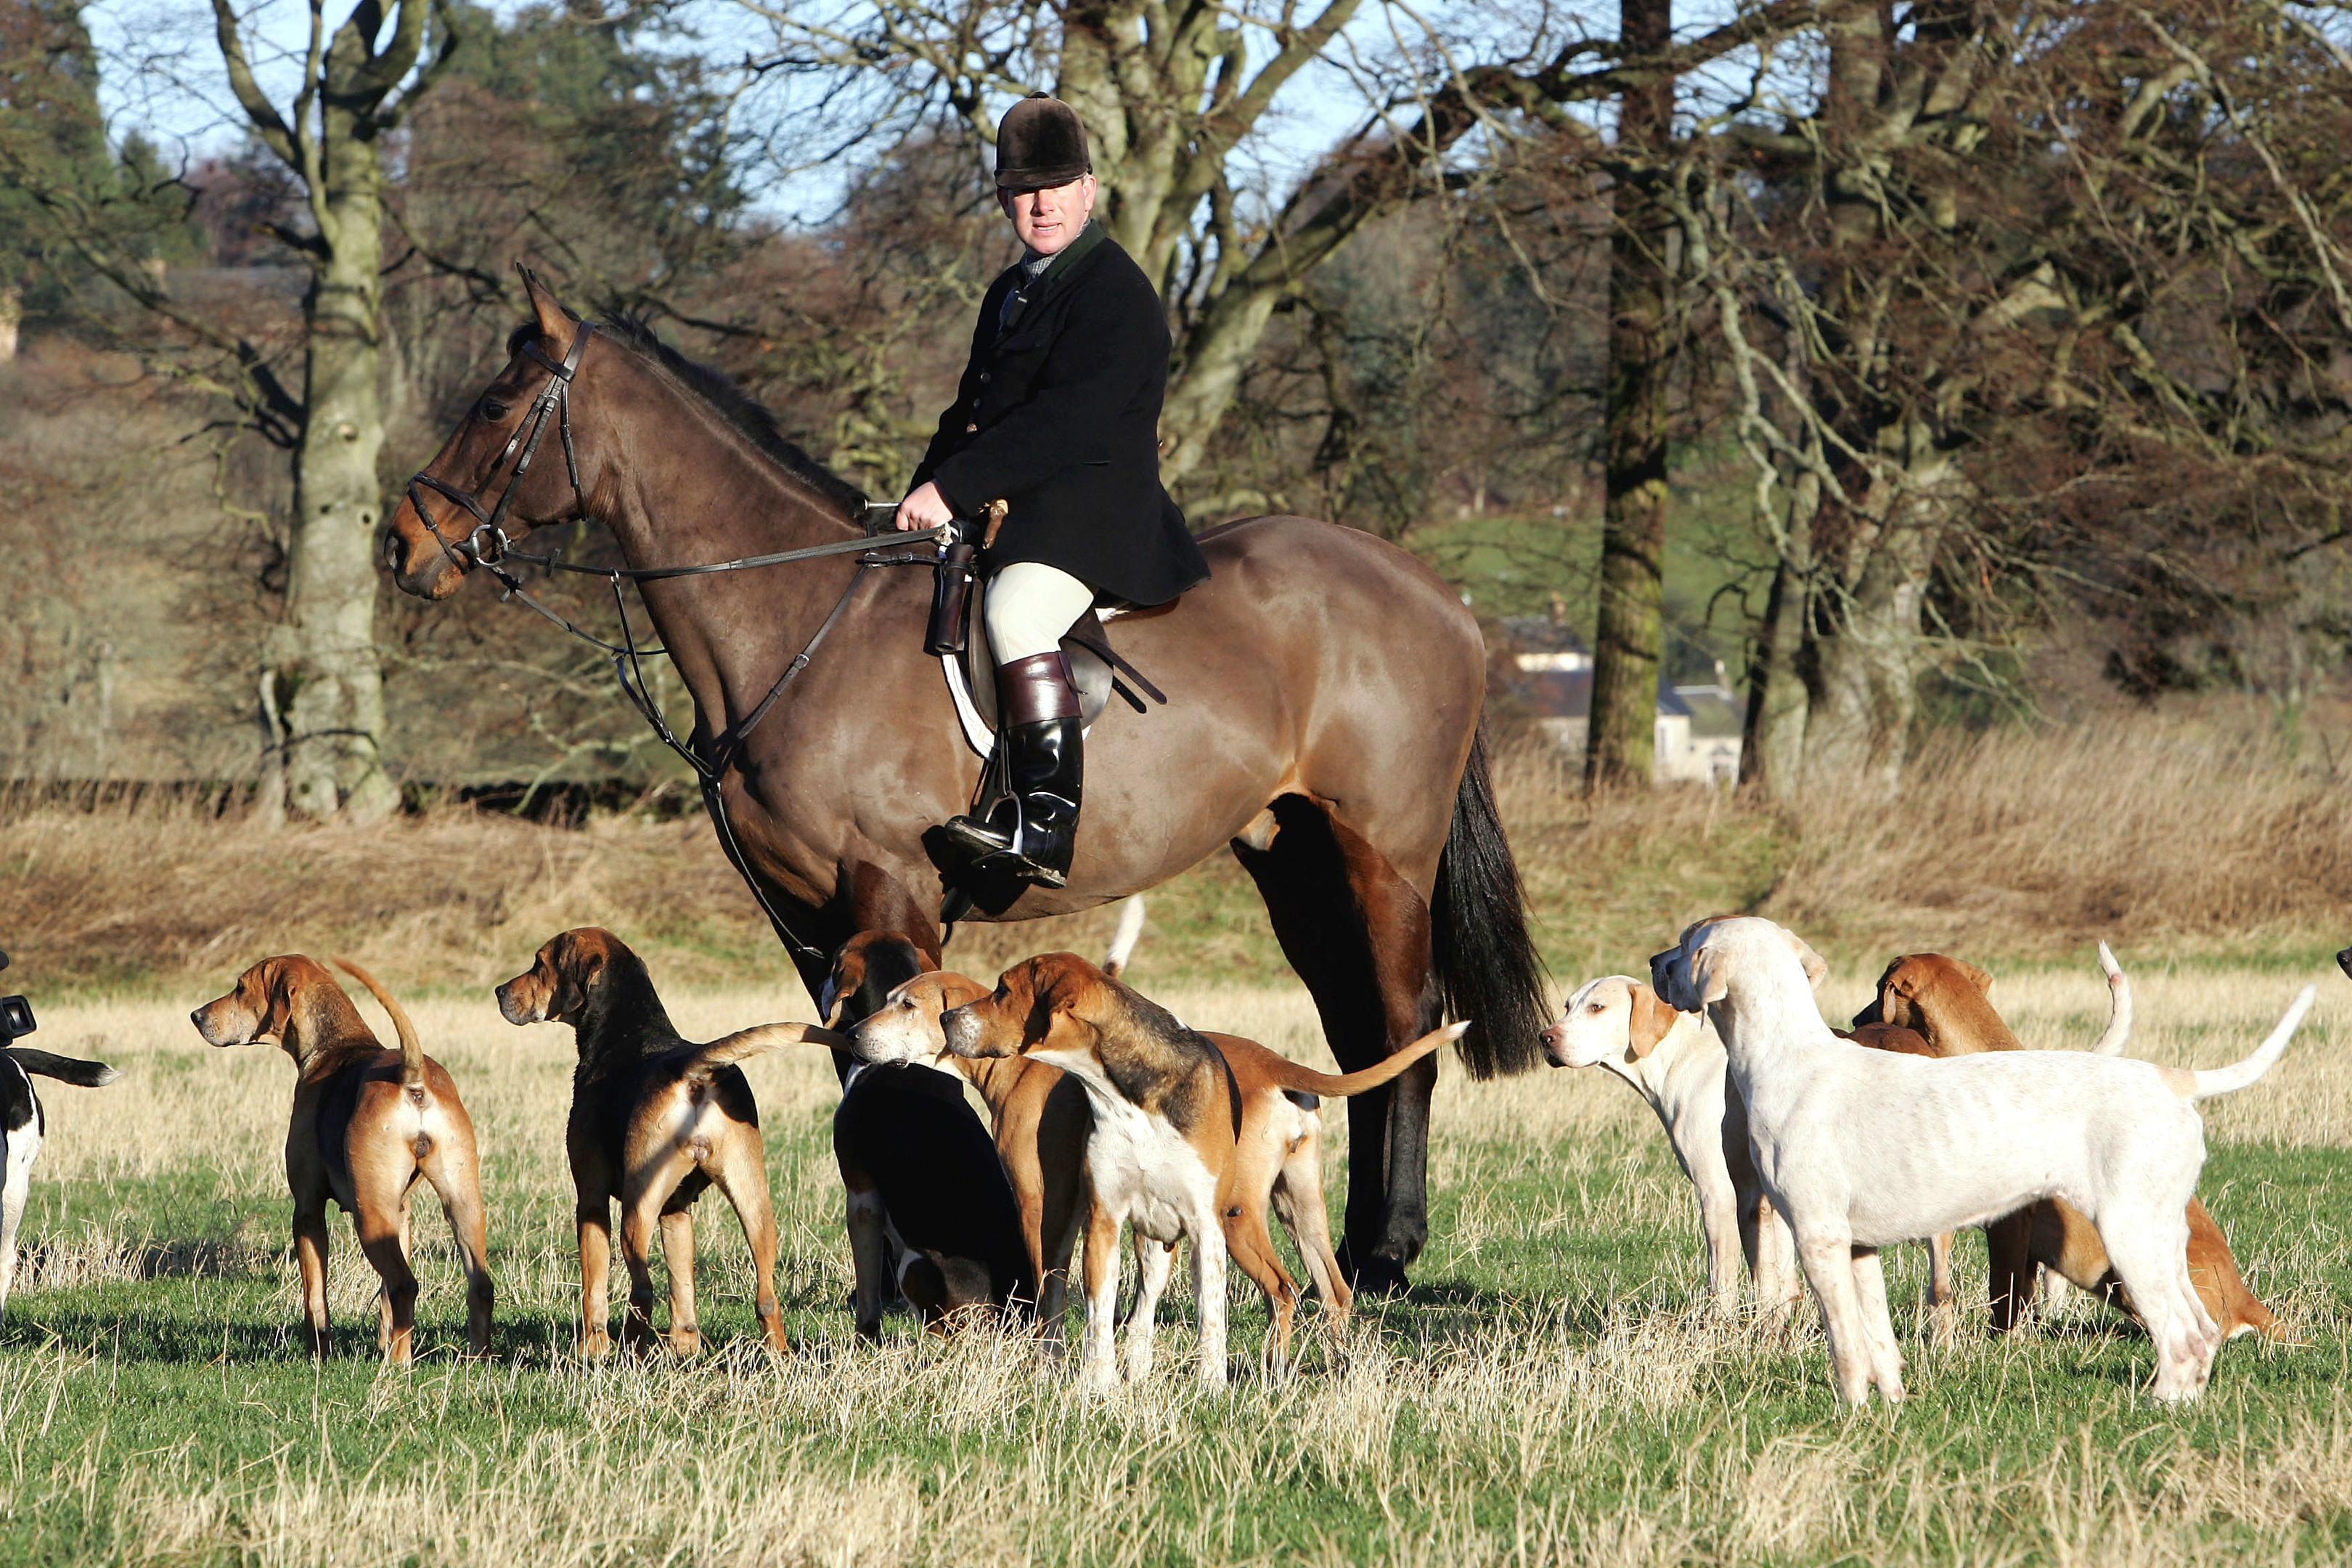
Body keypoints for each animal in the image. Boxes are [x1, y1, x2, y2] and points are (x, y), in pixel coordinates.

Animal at [383, 276, 1552, 1297]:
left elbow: (911, 1054)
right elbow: (853, 1051)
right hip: (1293, 858)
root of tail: (1434, 591)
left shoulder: (890, 890)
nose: (400, 547)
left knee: (1406, 1027)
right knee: (1355, 1038)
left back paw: (1388, 1255)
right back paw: (1352, 1247)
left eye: (495, 405)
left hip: (1384, 857)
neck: (793, 622)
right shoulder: (810, 916)